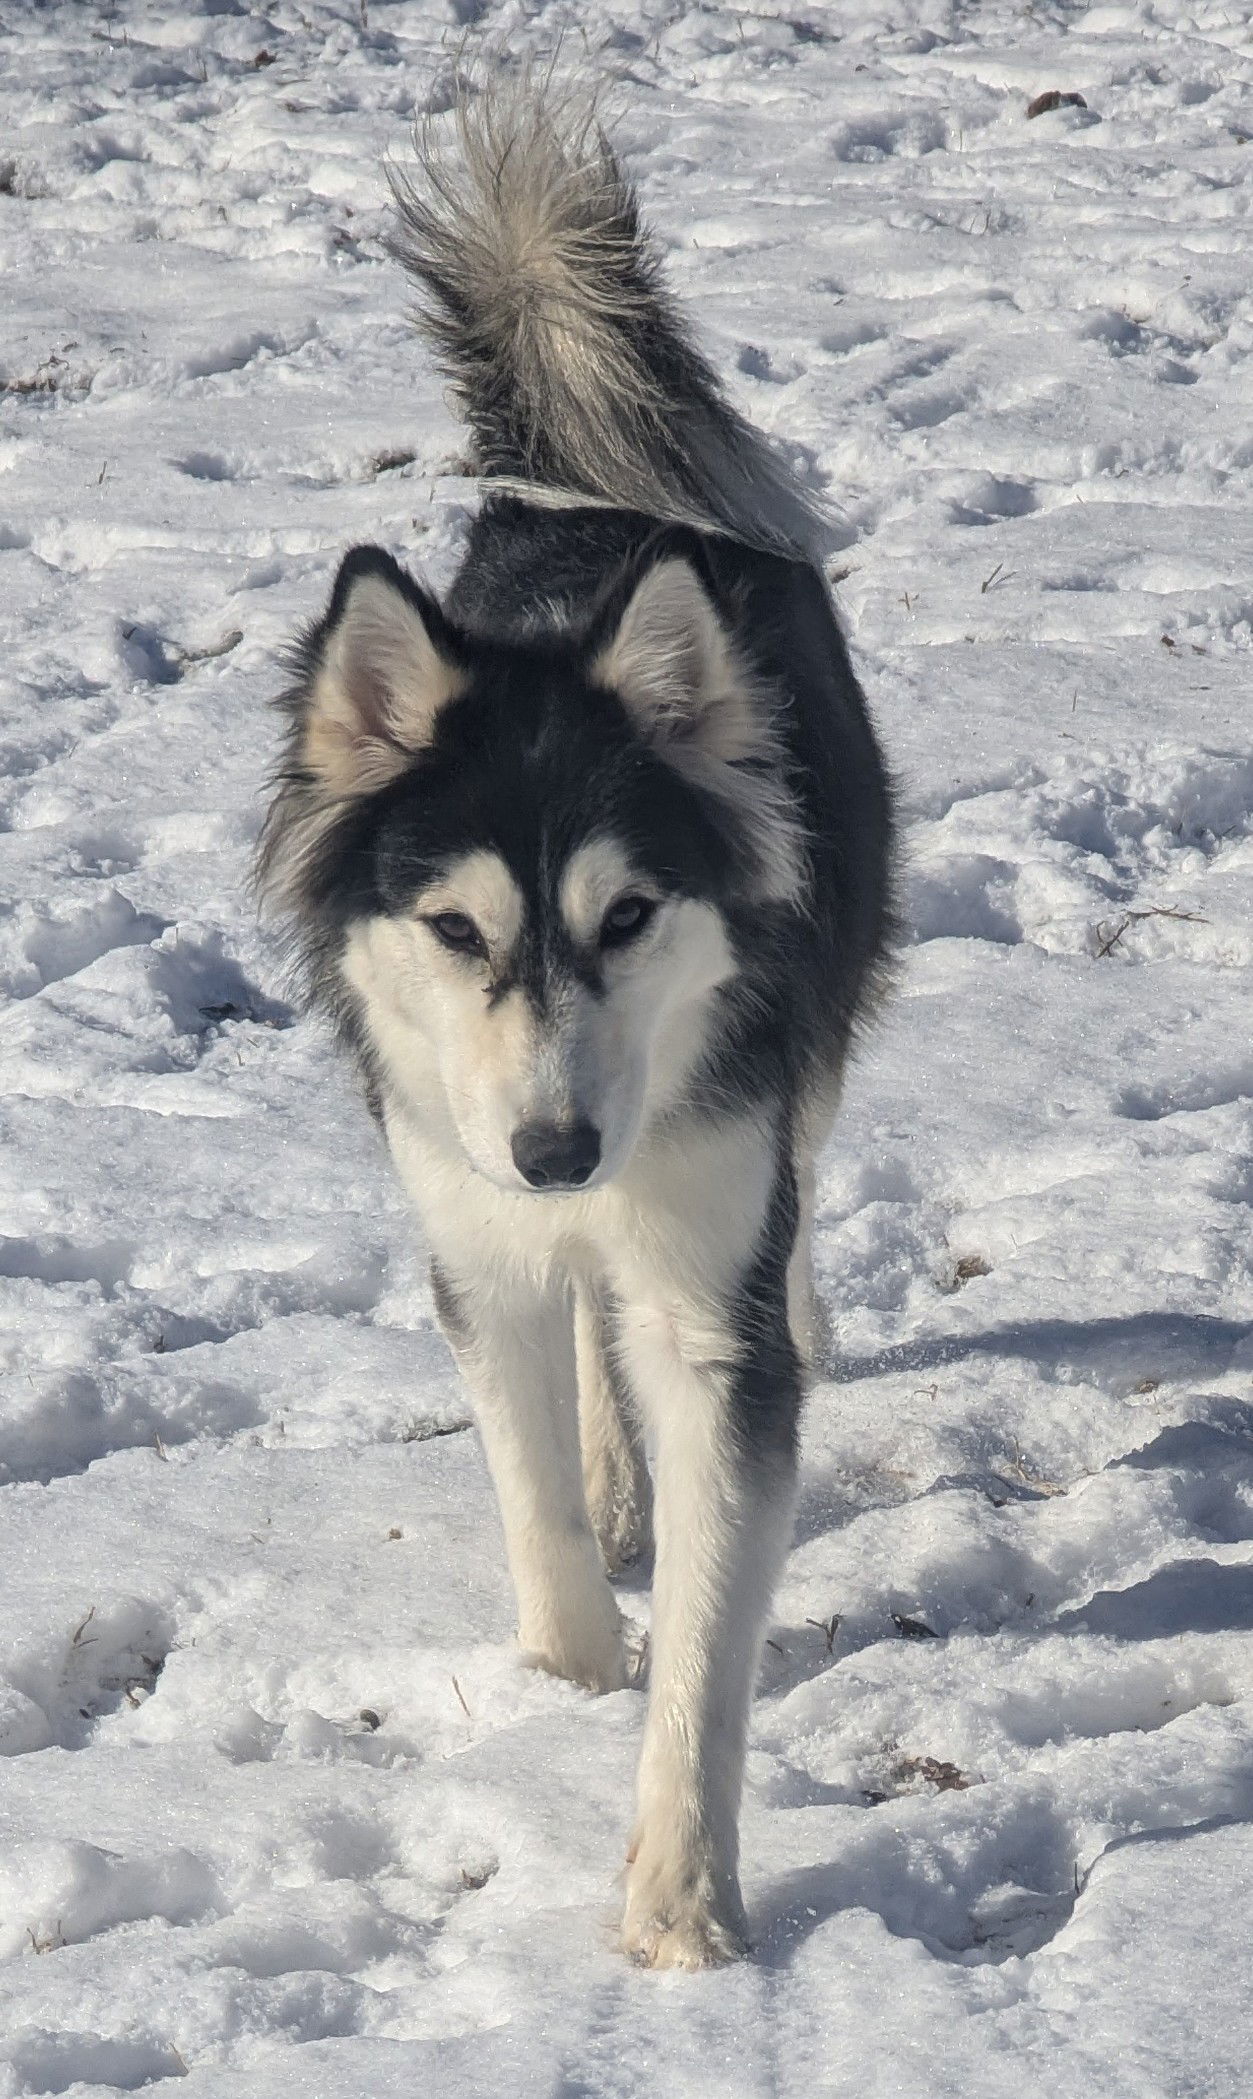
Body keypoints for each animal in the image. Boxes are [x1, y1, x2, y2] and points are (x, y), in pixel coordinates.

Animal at [259, 90, 894, 1964]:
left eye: (628, 915)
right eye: (456, 927)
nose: (556, 1143)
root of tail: (599, 497)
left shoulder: (700, 1262)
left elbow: (711, 1612)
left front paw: (681, 1898)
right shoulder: (471, 1222)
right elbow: (534, 1488)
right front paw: (563, 1675)